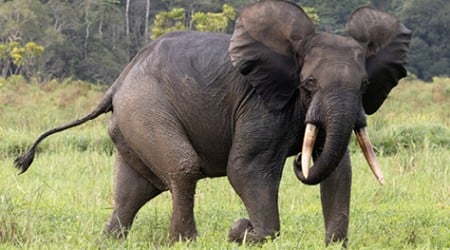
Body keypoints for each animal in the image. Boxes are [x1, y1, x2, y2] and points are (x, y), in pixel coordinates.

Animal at [14, 0, 412, 246]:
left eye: (364, 86)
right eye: (309, 84)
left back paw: (110, 240)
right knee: (181, 168)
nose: (301, 159)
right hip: (145, 106)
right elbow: (247, 168)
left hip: (131, 119)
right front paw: (241, 232)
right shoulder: (259, 105)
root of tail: (118, 81)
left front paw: (333, 244)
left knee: (135, 189)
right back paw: (186, 242)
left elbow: (339, 170)